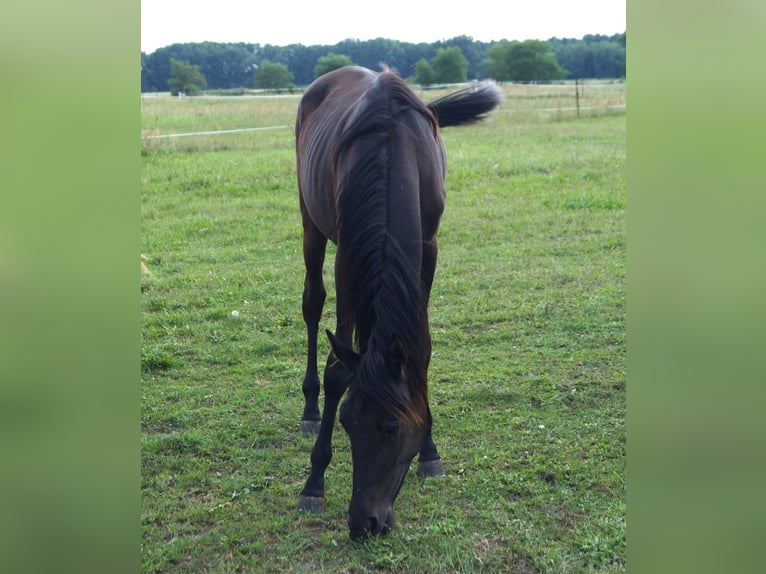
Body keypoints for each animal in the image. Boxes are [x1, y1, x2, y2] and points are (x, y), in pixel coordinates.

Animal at [294, 65, 504, 544]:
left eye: (392, 427)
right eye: (346, 421)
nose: (363, 523)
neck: (393, 155)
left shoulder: (427, 249)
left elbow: (420, 351)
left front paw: (430, 451)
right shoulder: (348, 255)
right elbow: (338, 368)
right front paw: (314, 482)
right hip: (311, 222)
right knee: (312, 304)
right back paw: (311, 408)